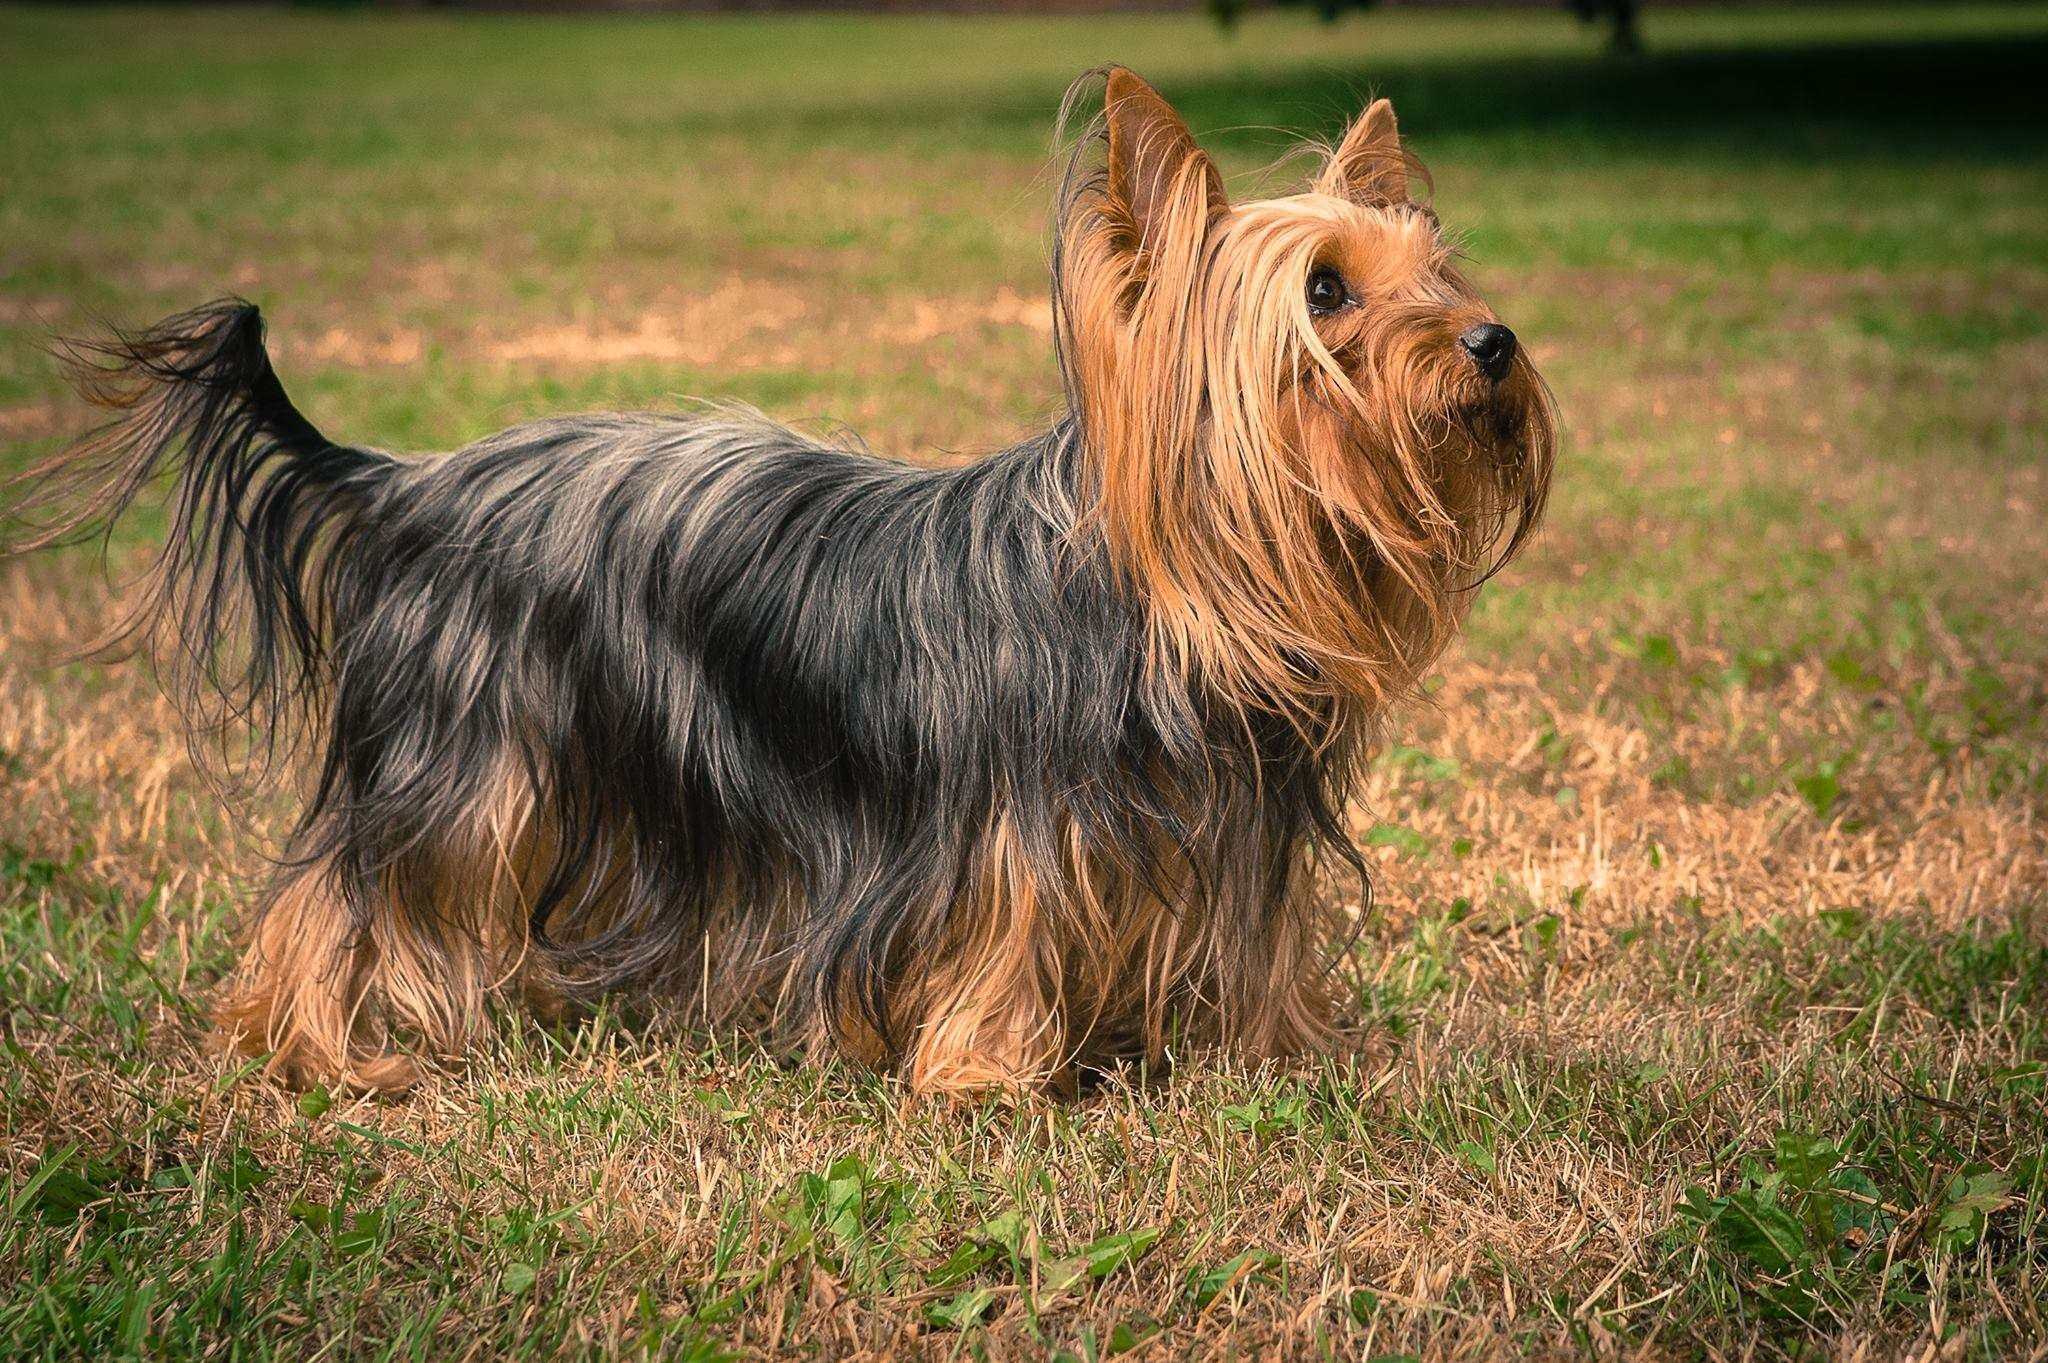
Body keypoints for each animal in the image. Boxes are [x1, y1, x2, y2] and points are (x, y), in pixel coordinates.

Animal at [4, 66, 1548, 1096]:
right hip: (469, 758)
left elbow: (1252, 954)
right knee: (342, 889)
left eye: (1438, 270)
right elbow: (1004, 947)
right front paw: (986, 1077)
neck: (1174, 601)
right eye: (1327, 294)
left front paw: (1280, 1054)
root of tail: (409, 481)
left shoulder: (1238, 835)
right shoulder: (1009, 839)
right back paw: (316, 1052)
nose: (1493, 341)